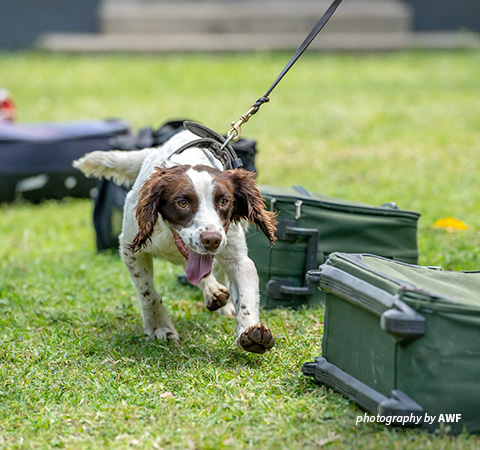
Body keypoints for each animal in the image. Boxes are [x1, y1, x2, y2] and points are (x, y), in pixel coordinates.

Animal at [75, 129, 278, 356]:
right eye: (182, 203)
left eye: (224, 201)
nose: (212, 240)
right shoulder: (131, 250)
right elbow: (148, 292)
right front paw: (159, 327)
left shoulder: (238, 257)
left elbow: (245, 296)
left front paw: (251, 331)